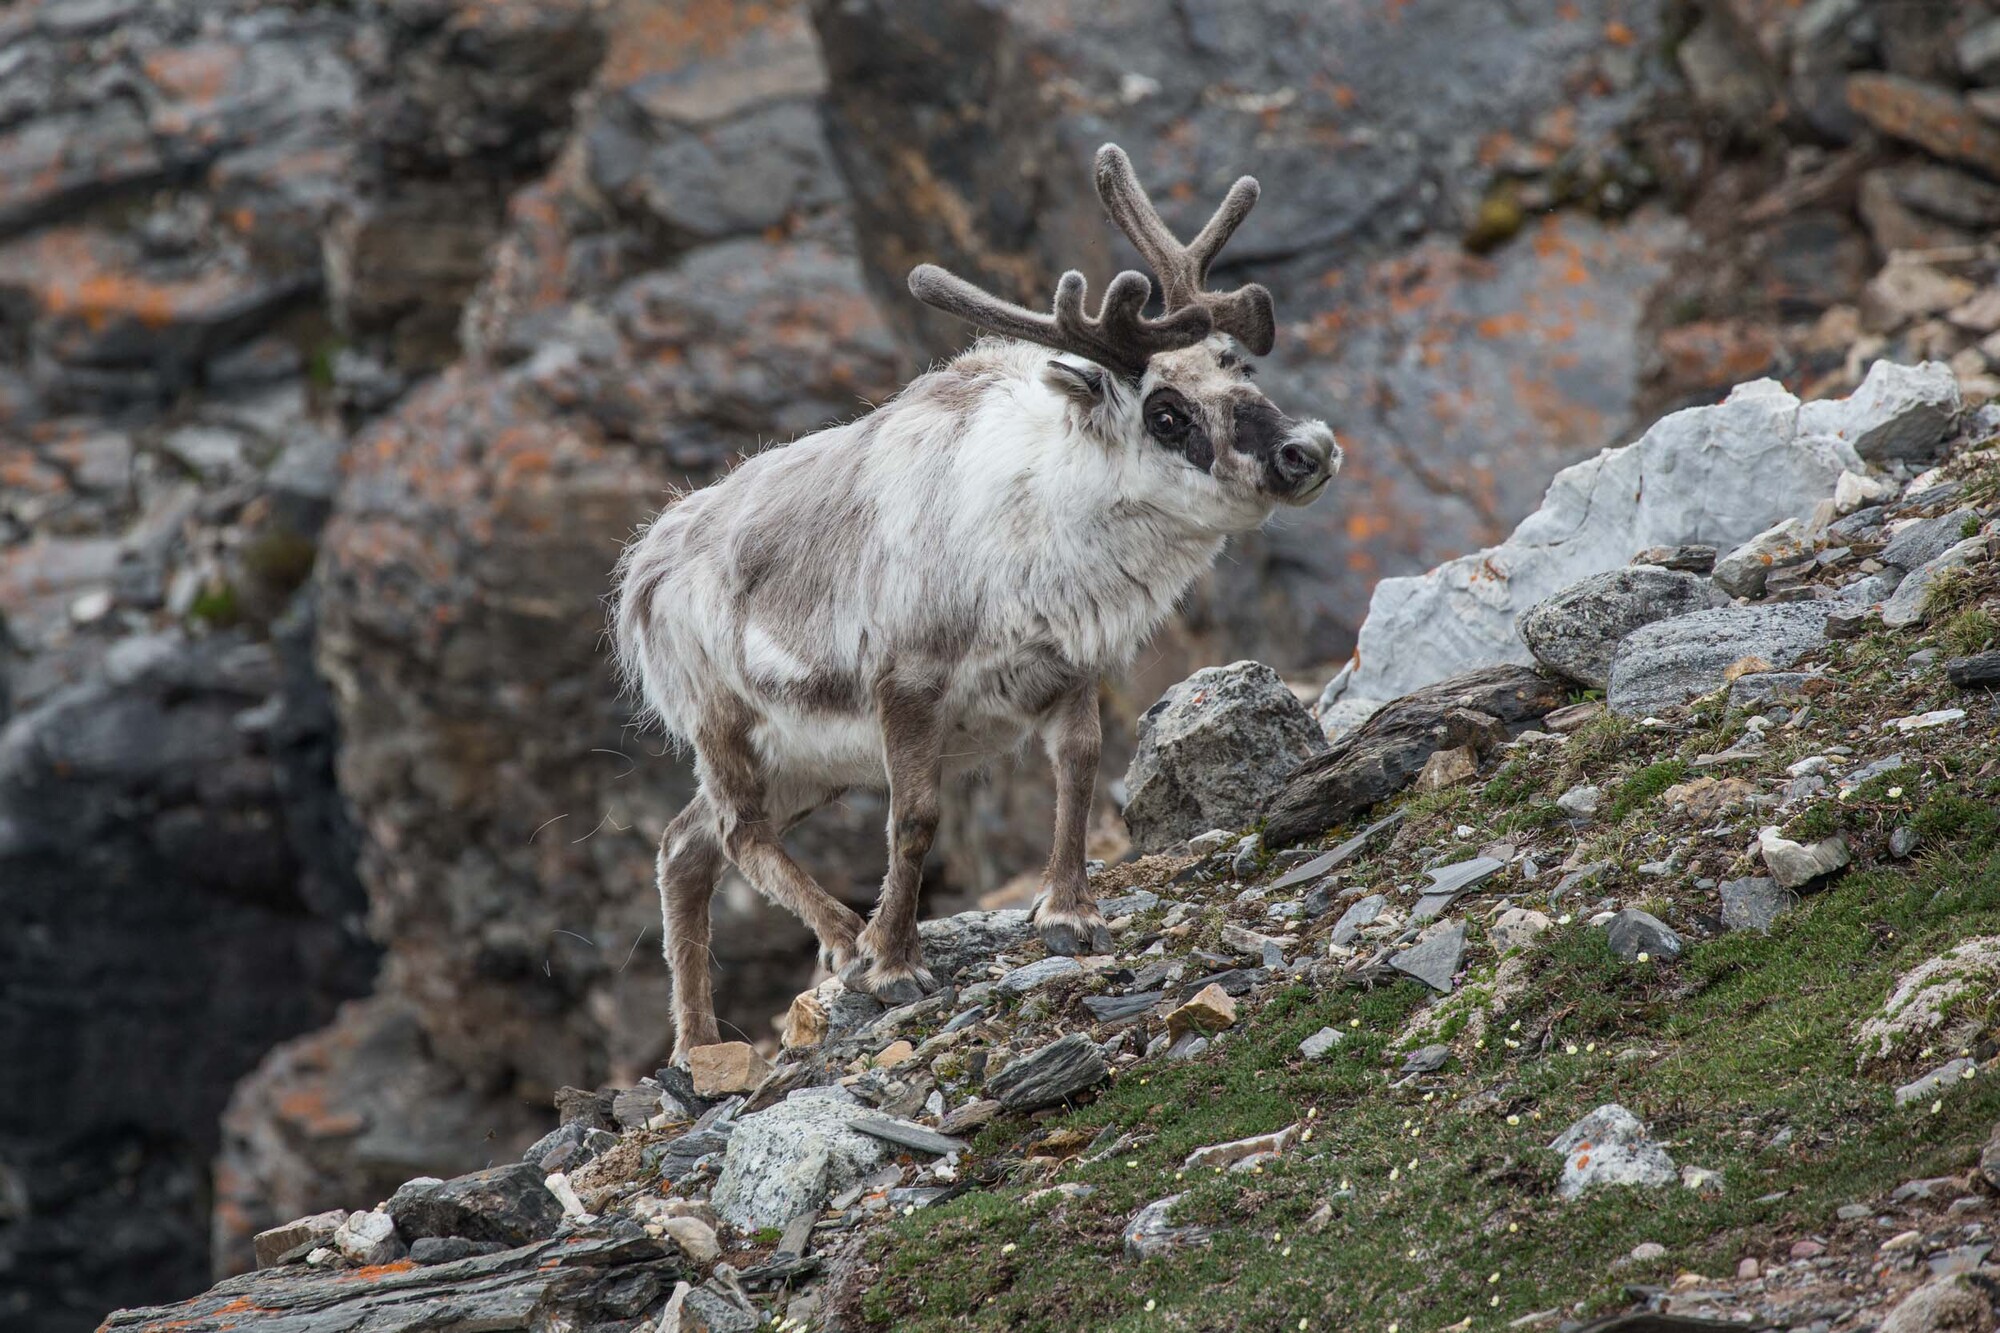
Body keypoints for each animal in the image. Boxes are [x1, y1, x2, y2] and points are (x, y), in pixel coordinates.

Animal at [612, 144, 1339, 1062]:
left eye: (1240, 365)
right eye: (1167, 413)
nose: (1308, 449)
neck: (1044, 523)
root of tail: (642, 569)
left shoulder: (1068, 668)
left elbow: (1079, 768)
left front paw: (1071, 913)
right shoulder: (905, 681)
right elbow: (915, 816)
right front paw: (895, 962)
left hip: (808, 759)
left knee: (685, 845)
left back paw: (700, 1044)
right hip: (724, 725)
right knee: (737, 833)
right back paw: (845, 941)